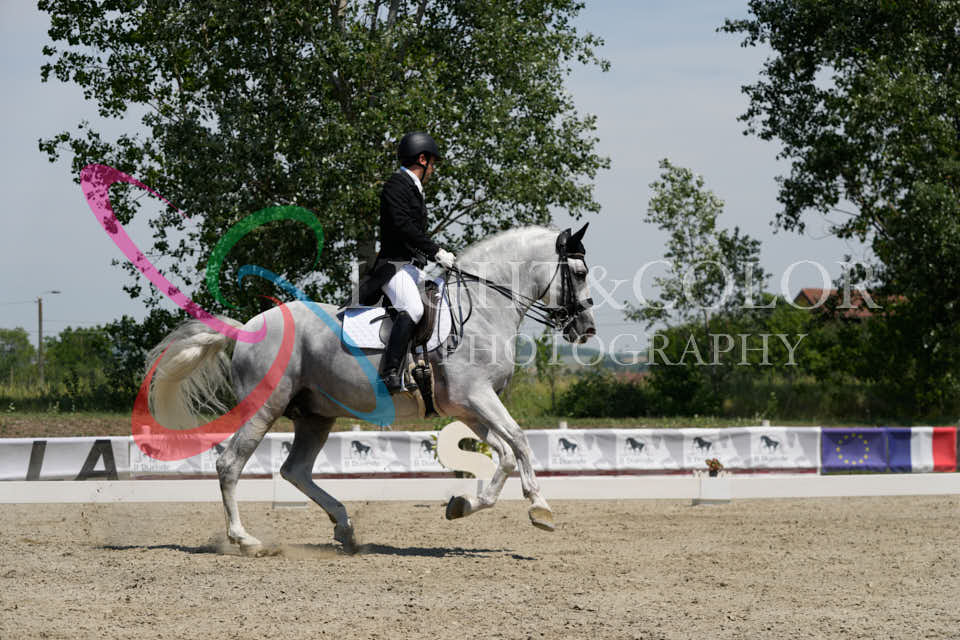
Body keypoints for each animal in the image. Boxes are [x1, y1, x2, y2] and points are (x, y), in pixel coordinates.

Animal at [144, 224, 596, 554]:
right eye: (579, 274)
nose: (586, 330)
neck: (483, 308)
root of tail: (245, 328)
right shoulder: (478, 396)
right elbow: (518, 440)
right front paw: (540, 509)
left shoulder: (467, 406)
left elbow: (501, 453)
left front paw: (462, 506)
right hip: (264, 407)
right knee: (230, 464)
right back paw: (245, 540)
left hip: (315, 416)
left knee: (295, 470)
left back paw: (344, 528)